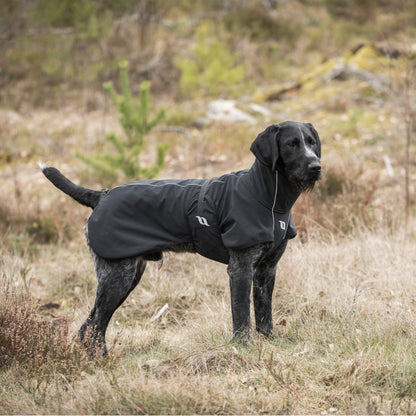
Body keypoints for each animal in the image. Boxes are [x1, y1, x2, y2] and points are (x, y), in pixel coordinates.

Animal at [39, 120, 322, 354]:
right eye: (291, 144)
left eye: (311, 142)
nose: (316, 167)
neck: (269, 198)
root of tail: (101, 196)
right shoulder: (240, 269)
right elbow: (242, 316)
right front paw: (242, 348)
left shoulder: (267, 270)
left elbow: (265, 314)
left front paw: (267, 344)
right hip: (117, 277)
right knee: (96, 323)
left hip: (127, 275)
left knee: (89, 326)